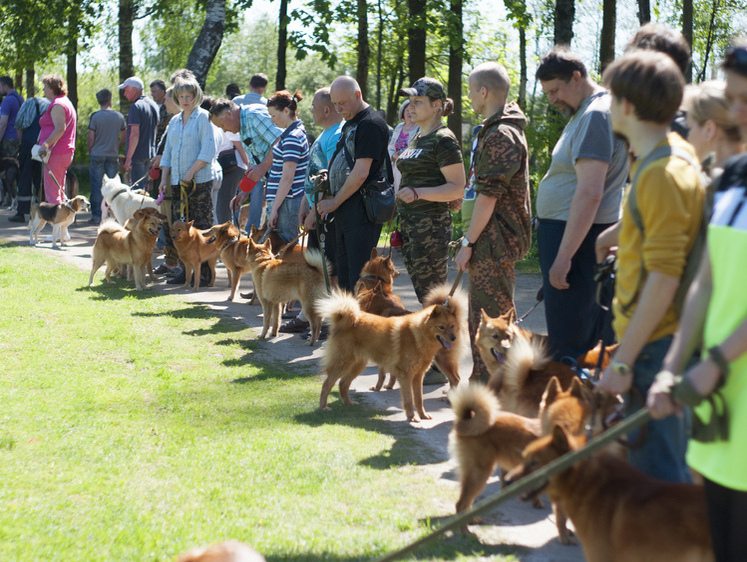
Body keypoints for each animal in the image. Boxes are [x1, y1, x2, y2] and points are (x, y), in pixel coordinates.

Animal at [316, 284, 468, 420]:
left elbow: (418, 399)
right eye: (441, 327)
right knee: (327, 384)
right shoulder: (405, 375)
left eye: (451, 326)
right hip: (342, 364)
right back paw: (323, 407)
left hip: (357, 365)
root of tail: (345, 319)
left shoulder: (417, 376)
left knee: (343, 384)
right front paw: (412, 417)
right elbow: (409, 399)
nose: (453, 338)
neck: (418, 335)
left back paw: (348, 403)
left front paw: (422, 415)